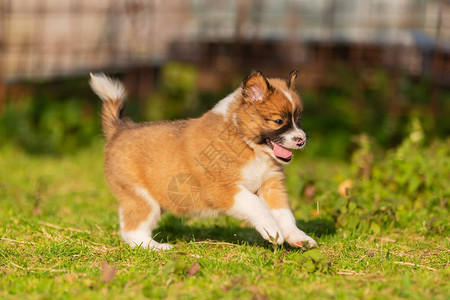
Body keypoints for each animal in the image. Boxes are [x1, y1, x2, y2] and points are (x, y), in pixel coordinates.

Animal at [89, 71, 316, 251]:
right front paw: (272, 230)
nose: (301, 139)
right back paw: (156, 247)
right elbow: (256, 205)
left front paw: (298, 236)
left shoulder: (271, 184)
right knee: (132, 230)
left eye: (298, 119)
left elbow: (284, 213)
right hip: (141, 197)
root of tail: (121, 128)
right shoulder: (225, 189)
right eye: (278, 121)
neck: (245, 142)